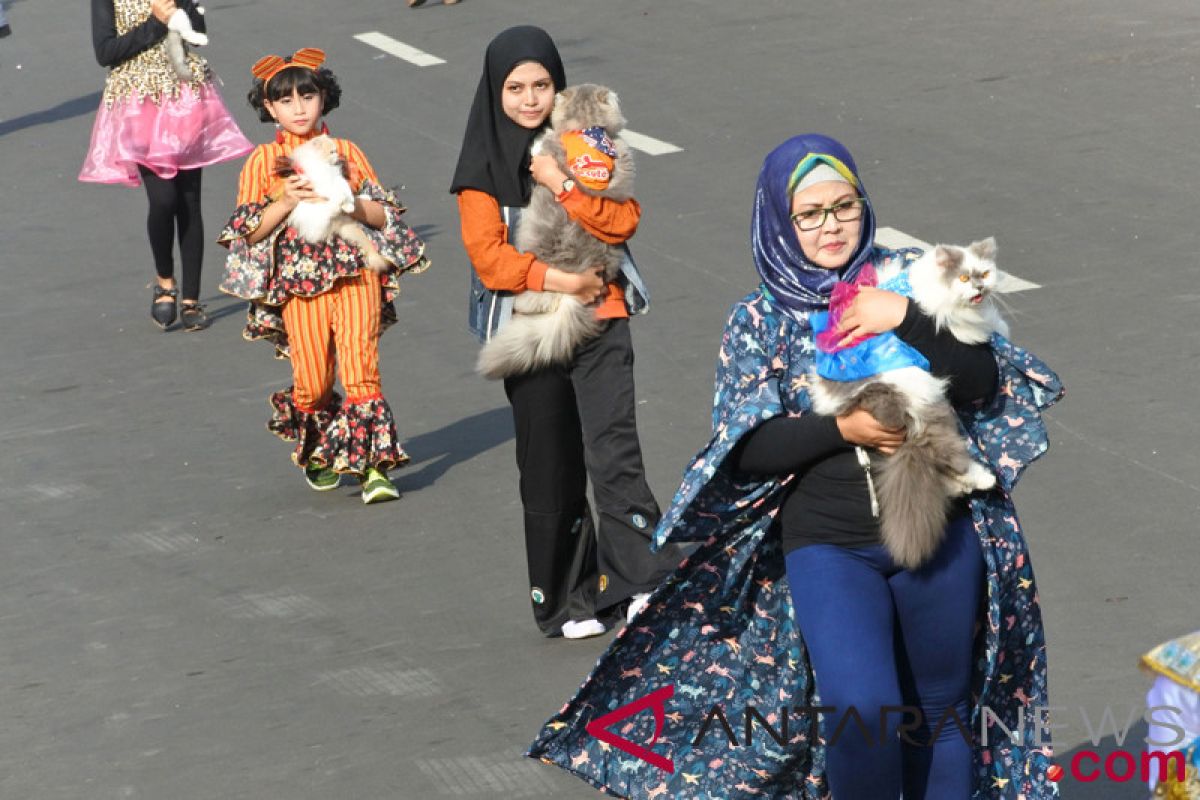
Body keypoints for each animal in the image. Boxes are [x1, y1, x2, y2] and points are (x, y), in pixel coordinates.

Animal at [806, 237, 1012, 568]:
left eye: (984, 273)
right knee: (945, 452)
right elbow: (978, 325)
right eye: (963, 278)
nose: (979, 288)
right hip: (928, 395)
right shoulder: (950, 318)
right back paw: (982, 478)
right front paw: (998, 326)